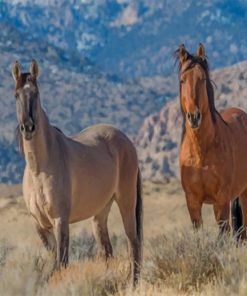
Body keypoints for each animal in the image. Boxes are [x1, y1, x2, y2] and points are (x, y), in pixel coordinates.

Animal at [11, 60, 143, 284]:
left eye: (36, 93)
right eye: (16, 95)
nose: (28, 127)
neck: (40, 169)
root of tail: (126, 142)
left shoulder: (60, 221)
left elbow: (60, 264)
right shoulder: (41, 226)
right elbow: (53, 264)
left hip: (126, 201)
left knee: (132, 244)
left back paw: (132, 285)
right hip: (100, 212)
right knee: (107, 252)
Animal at [178, 43, 247, 236]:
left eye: (202, 79)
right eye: (182, 80)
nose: (194, 117)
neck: (201, 151)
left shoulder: (221, 201)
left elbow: (222, 234)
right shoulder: (193, 203)